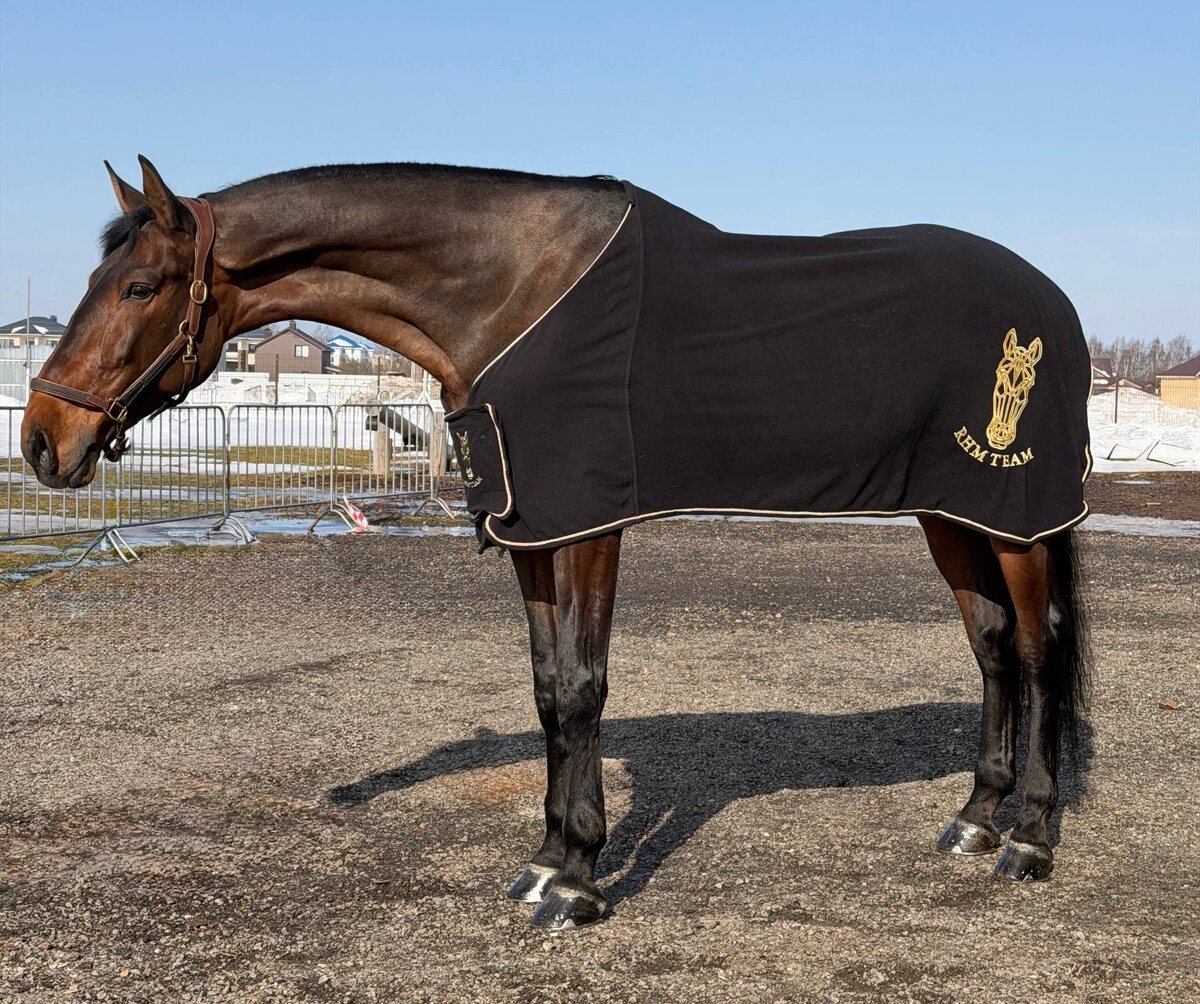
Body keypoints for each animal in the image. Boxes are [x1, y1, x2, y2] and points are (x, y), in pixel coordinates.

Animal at [21, 157, 1091, 931]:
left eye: (140, 286)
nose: (41, 440)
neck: (513, 292)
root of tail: (1054, 302)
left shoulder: (588, 527)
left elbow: (581, 688)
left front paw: (579, 883)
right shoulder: (535, 528)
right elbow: (545, 691)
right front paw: (547, 864)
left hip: (1017, 517)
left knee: (1040, 652)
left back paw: (1030, 840)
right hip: (953, 515)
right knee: (993, 647)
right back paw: (973, 818)